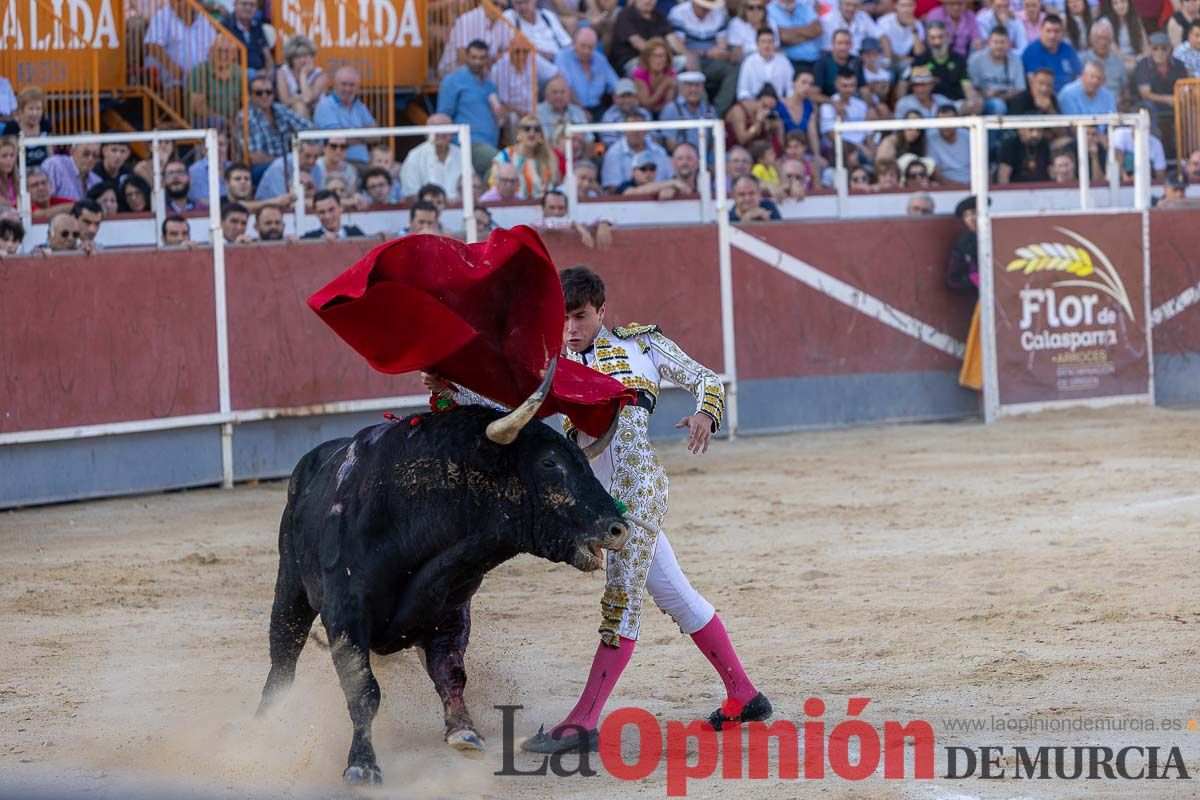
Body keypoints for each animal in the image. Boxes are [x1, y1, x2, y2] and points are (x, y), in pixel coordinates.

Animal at [254, 386, 628, 782]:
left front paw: (463, 731)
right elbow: (363, 688)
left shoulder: (450, 610)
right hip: (290, 585)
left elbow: (451, 673)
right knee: (283, 656)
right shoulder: (345, 613)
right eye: (549, 464)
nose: (618, 528)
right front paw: (361, 765)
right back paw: (265, 725)